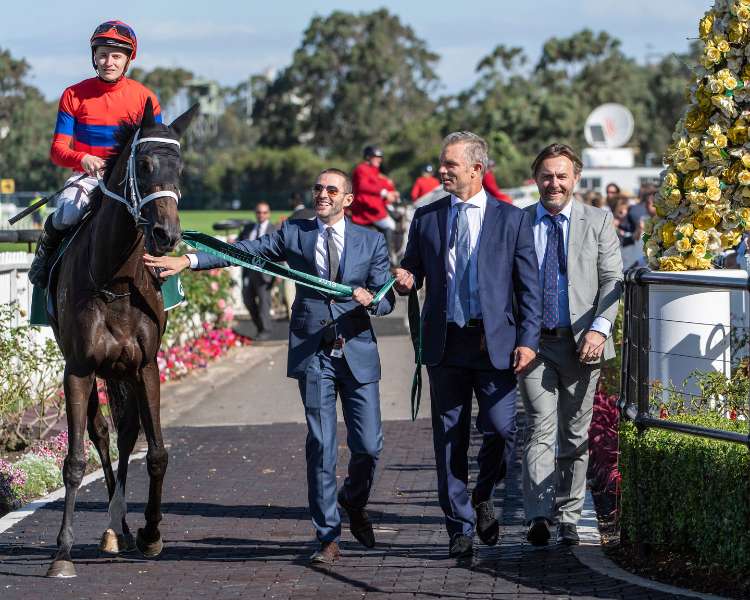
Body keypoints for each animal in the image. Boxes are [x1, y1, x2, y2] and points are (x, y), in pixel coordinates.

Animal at [45, 97, 197, 578]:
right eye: (144, 164)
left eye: (180, 167)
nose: (167, 235)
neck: (114, 282)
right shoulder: (78, 368)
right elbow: (76, 459)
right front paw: (62, 551)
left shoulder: (146, 366)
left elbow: (157, 452)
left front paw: (150, 533)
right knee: (100, 434)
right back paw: (113, 530)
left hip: (123, 370)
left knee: (127, 432)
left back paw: (121, 528)